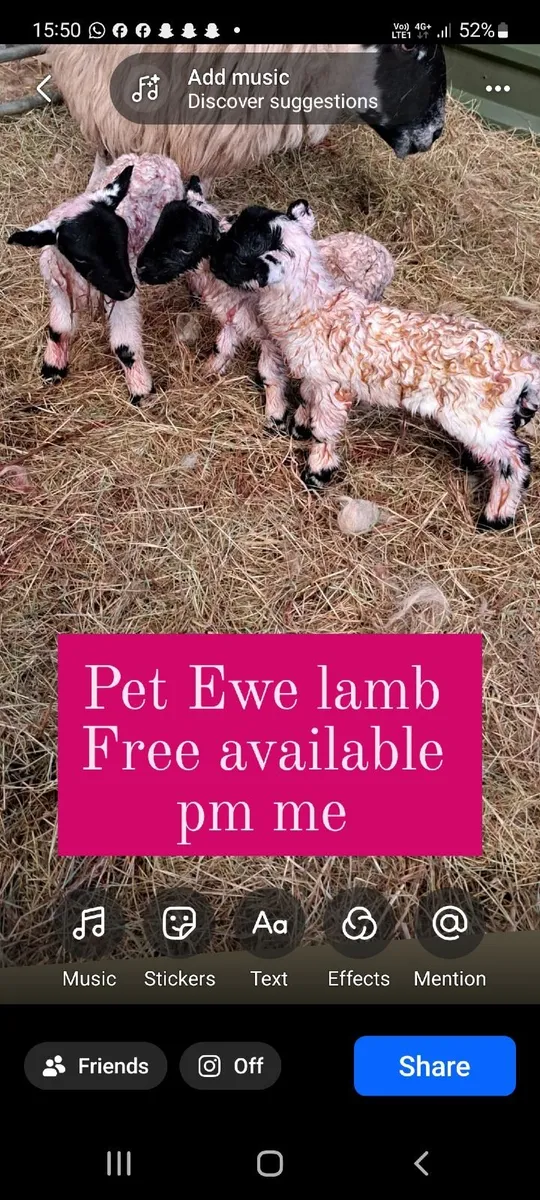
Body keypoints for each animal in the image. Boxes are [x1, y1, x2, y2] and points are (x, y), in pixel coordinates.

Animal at [7, 153, 183, 404]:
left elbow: (124, 347)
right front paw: (52, 368)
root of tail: (150, 156)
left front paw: (141, 389)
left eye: (123, 237)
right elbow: (58, 330)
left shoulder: (121, 300)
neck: (83, 282)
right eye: (80, 258)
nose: (127, 288)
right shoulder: (59, 290)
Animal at [137, 177, 394, 431]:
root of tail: (382, 251)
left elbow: (270, 374)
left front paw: (275, 414)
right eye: (157, 229)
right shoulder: (234, 319)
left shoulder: (272, 340)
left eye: (184, 245)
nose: (140, 270)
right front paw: (208, 370)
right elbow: (221, 347)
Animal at [210, 201, 540, 530]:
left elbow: (325, 431)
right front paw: (300, 426)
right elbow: (307, 403)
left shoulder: (334, 388)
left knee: (517, 458)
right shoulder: (315, 379)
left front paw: (317, 473)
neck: (316, 312)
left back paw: (495, 517)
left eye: (241, 248)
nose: (212, 262)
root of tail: (519, 364)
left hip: (474, 417)